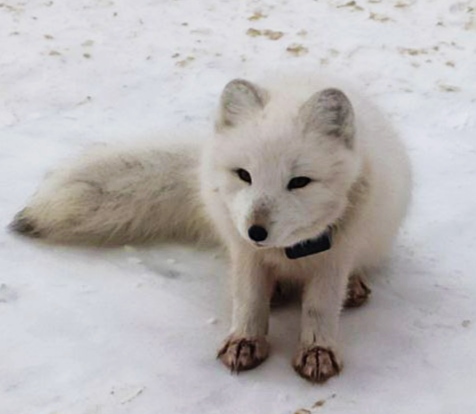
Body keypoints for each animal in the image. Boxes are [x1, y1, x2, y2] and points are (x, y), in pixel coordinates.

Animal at [12, 73, 412, 382]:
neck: (287, 253)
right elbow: (248, 300)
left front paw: (318, 350)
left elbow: (320, 307)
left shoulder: (335, 258)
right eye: (244, 175)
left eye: (299, 182)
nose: (256, 231)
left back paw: (353, 287)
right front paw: (245, 340)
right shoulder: (244, 252)